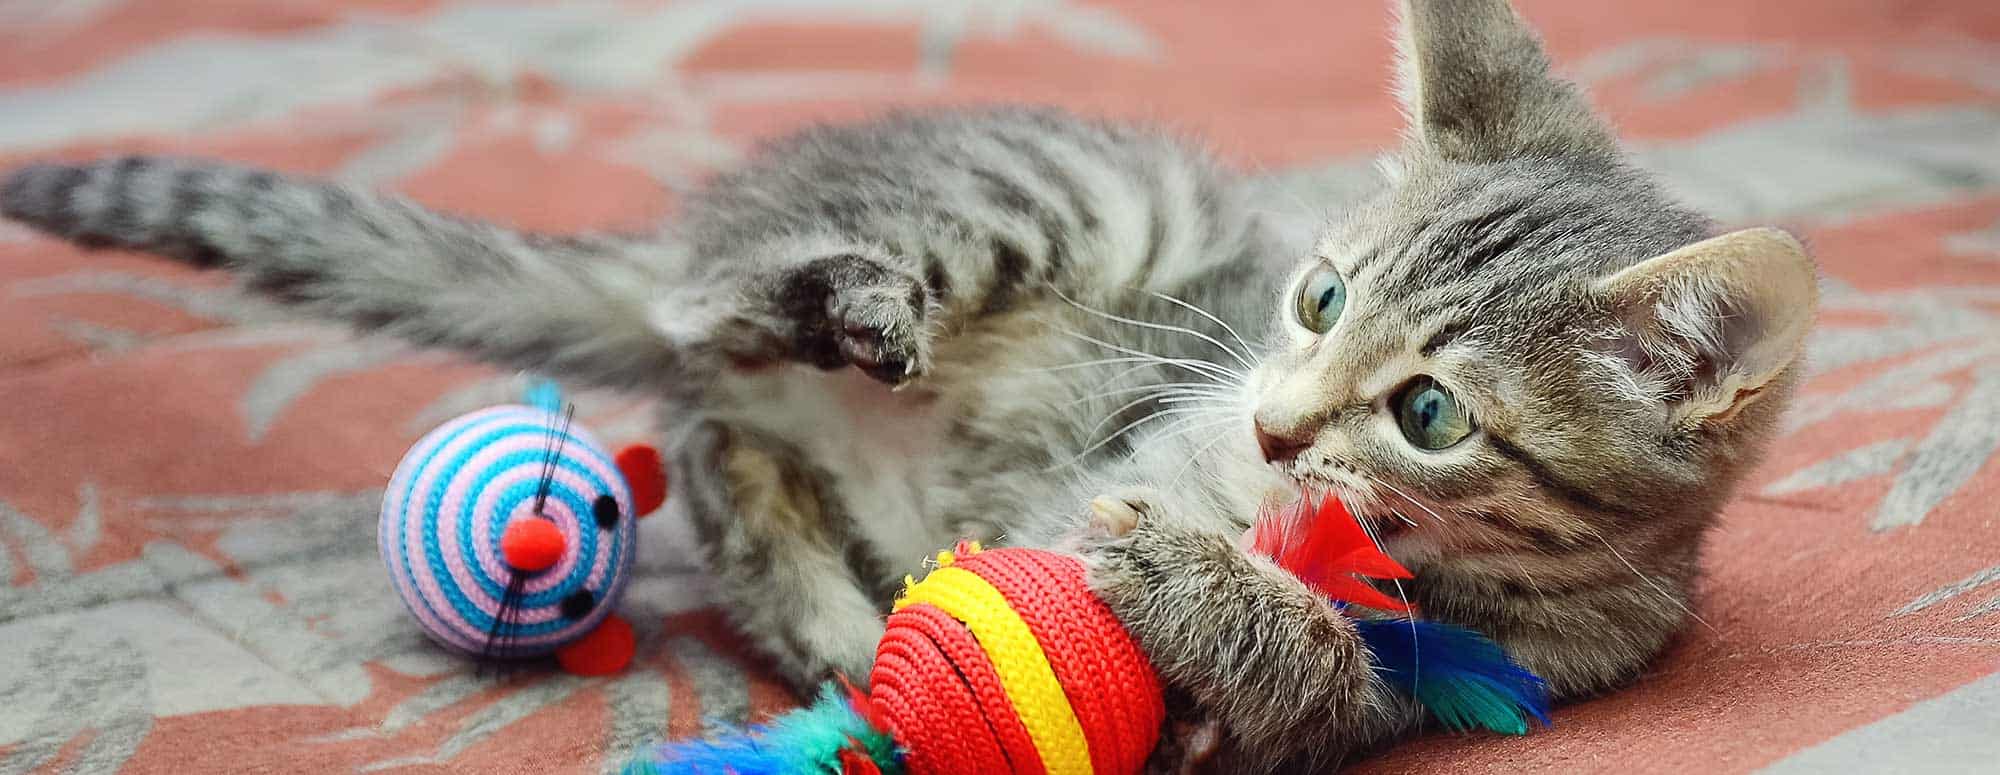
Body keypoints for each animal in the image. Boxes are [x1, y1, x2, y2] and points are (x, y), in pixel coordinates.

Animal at [0, 0, 1816, 767]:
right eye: (1317, 297)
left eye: (1431, 414)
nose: (1274, 419)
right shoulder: (1139, 434)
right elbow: (1114, 510)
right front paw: (1174, 549)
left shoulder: (1443, 685)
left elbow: (1306, 672)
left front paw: (1210, 605)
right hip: (1063, 203)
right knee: (710, 316)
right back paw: (841, 309)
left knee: (711, 440)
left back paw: (831, 613)